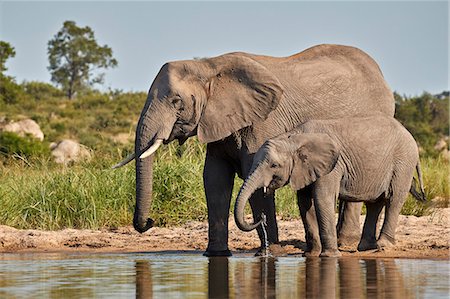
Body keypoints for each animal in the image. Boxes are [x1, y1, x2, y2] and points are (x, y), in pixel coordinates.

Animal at [113, 43, 394, 256]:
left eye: (176, 101)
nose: (149, 222)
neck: (209, 67)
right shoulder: (219, 122)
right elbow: (214, 180)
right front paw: (216, 254)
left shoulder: (263, 121)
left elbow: (254, 175)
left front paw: (270, 252)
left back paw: (345, 242)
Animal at [236, 115, 426, 258]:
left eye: (274, 165)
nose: (261, 218)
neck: (294, 138)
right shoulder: (305, 169)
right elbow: (305, 204)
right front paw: (311, 255)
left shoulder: (332, 167)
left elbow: (322, 199)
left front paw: (329, 256)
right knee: (375, 203)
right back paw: (366, 248)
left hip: (403, 164)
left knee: (393, 200)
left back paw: (383, 246)